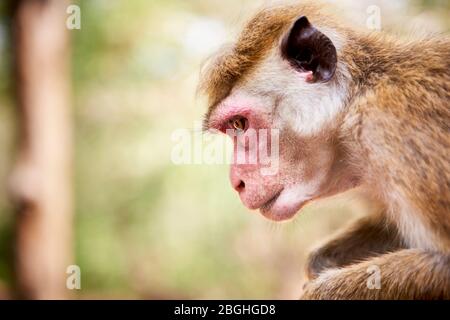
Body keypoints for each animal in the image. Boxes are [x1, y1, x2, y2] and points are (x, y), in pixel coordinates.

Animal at [200, 1, 450, 298]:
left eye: (239, 123)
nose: (236, 182)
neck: (355, 101)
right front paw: (322, 261)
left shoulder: (395, 127)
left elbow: (443, 263)